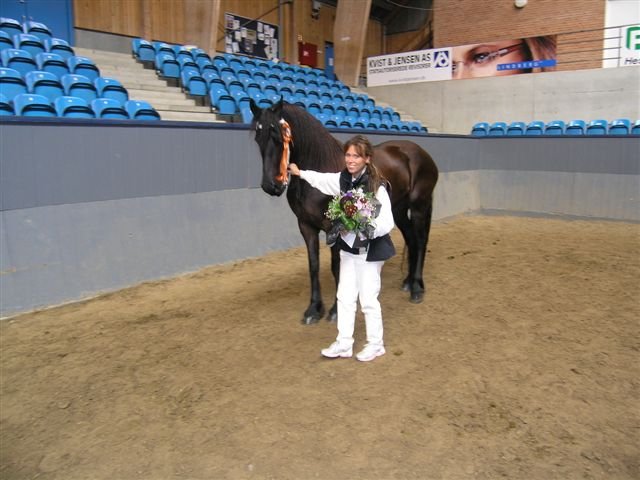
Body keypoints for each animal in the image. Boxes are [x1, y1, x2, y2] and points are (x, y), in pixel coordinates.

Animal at [250, 99, 438, 325]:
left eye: (278, 136)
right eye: (258, 137)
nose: (271, 186)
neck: (321, 165)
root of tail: (421, 153)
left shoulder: (335, 226)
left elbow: (336, 265)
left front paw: (335, 311)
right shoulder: (306, 226)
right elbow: (313, 265)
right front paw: (313, 310)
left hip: (419, 206)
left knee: (420, 240)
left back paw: (417, 287)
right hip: (399, 210)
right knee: (411, 239)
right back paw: (408, 282)